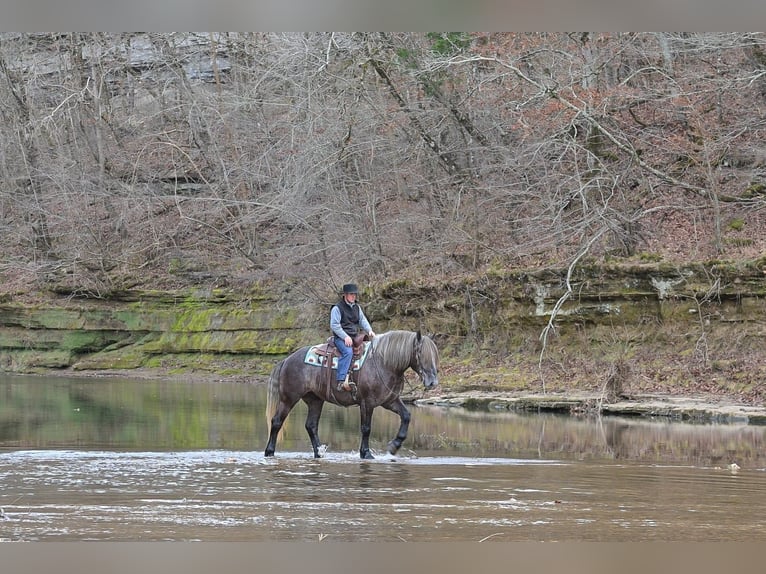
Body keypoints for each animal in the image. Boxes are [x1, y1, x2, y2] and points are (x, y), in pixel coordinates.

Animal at [264, 330, 439, 460]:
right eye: (420, 353)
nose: (432, 382)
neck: (383, 362)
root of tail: (287, 360)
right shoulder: (367, 403)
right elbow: (366, 428)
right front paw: (366, 453)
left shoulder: (390, 401)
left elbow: (407, 416)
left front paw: (394, 446)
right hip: (288, 399)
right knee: (277, 421)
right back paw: (269, 451)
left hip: (315, 400)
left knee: (311, 426)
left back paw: (319, 453)